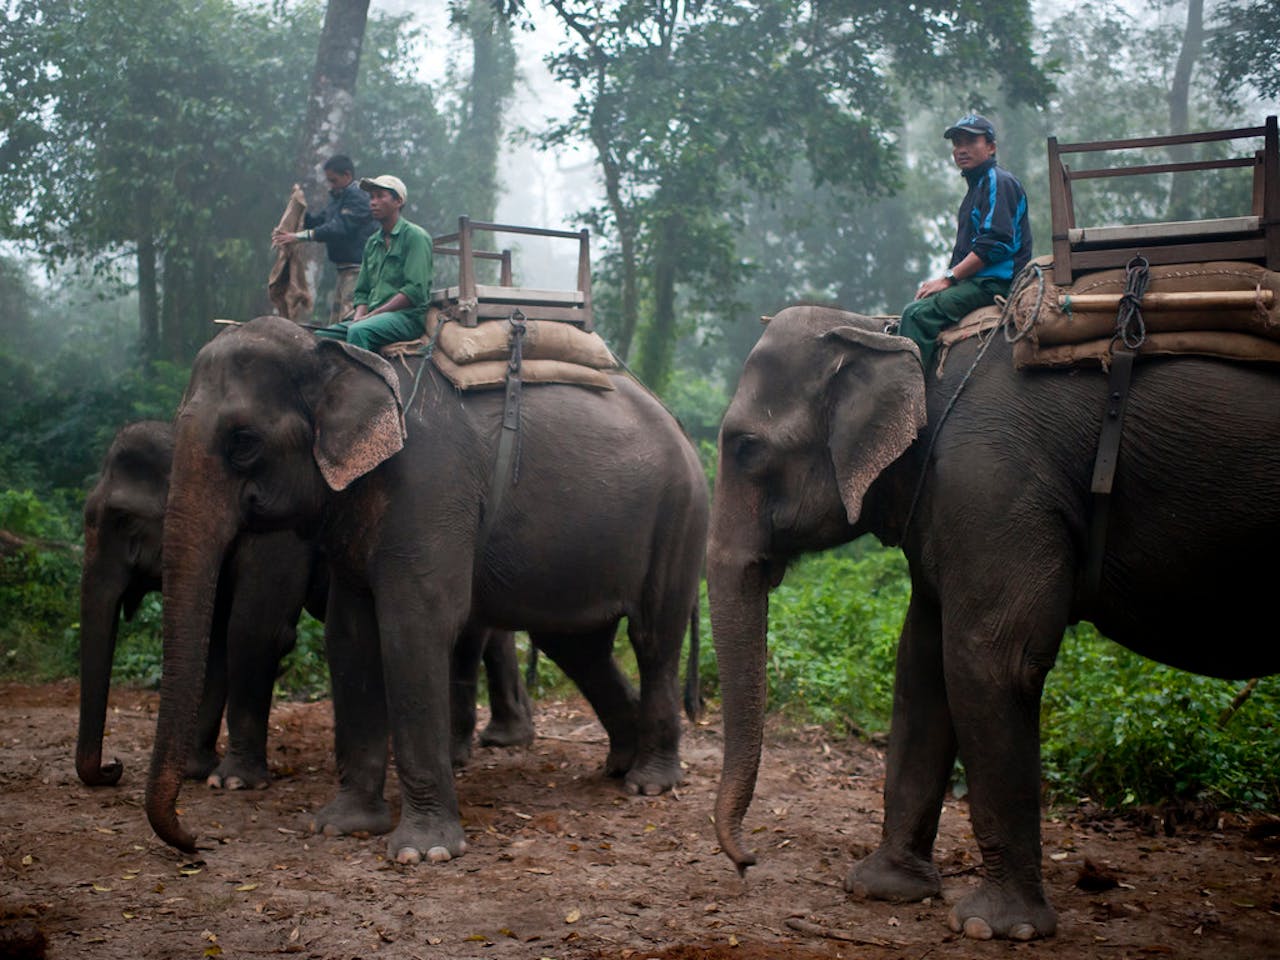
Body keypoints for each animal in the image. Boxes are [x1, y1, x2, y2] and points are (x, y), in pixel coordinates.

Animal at [80, 424, 532, 793]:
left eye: (121, 519)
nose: (113, 768)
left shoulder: (278, 539)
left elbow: (253, 629)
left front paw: (231, 780)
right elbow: (215, 643)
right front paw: (196, 769)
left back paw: (460, 754)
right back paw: (508, 736)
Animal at [149, 312, 711, 870]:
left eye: (243, 442)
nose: (197, 844)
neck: (335, 354)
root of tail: (680, 426)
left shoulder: (428, 486)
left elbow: (412, 627)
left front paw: (423, 851)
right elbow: (349, 637)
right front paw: (342, 825)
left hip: (680, 515)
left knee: (652, 638)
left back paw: (650, 784)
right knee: (578, 647)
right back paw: (619, 766)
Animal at [711, 304, 1280, 942]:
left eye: (746, 448)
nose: (748, 862)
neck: (897, 340)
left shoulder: (992, 481)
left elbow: (988, 661)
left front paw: (996, 927)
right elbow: (922, 664)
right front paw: (881, 889)